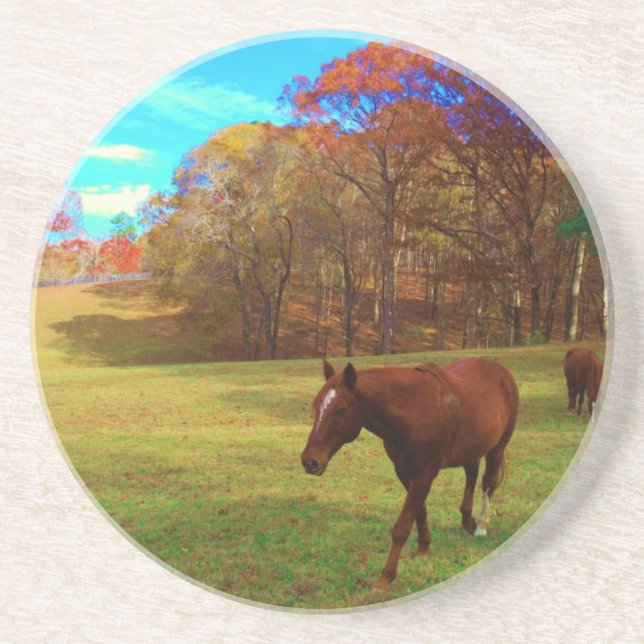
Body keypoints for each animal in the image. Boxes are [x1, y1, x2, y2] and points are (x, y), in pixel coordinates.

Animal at [300, 357, 519, 590]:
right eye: (316, 406)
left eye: (341, 410)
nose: (310, 461)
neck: (413, 412)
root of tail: (501, 371)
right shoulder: (404, 472)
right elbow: (419, 512)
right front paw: (423, 548)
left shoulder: (425, 475)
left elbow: (402, 527)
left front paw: (386, 577)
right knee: (472, 473)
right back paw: (467, 520)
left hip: (497, 448)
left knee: (488, 483)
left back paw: (481, 527)